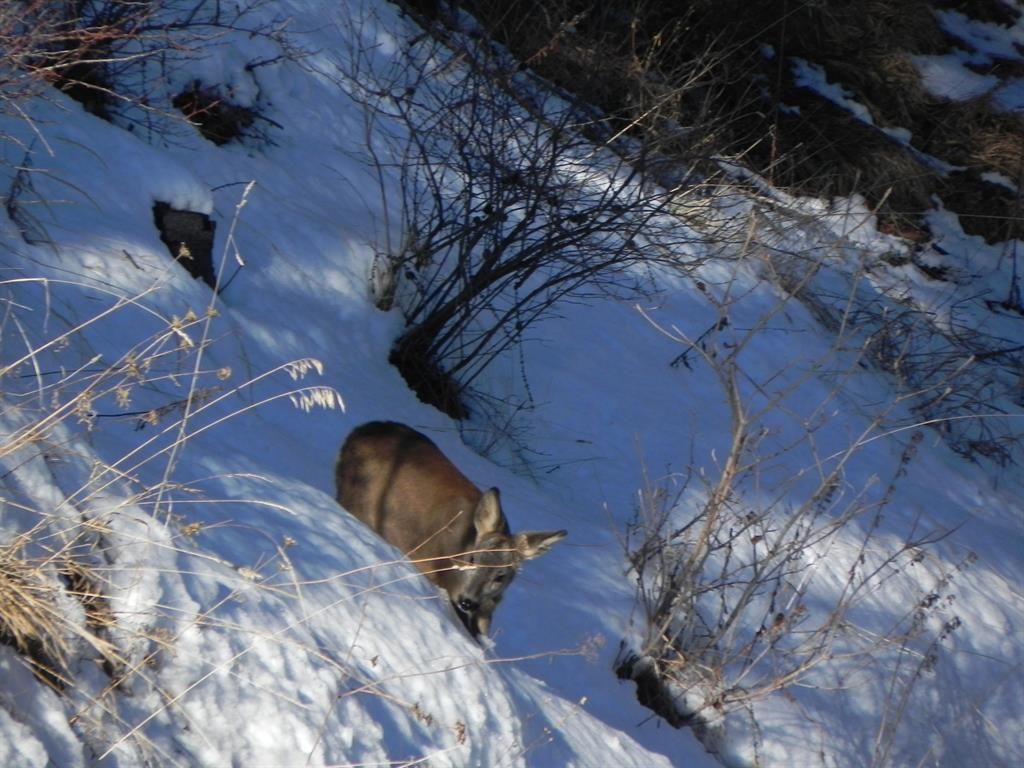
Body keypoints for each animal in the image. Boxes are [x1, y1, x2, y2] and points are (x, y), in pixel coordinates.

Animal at [335, 421, 567, 638]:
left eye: (500, 576)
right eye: (472, 559)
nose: (467, 601)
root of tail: (360, 430)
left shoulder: (488, 606)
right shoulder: (430, 569)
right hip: (357, 499)